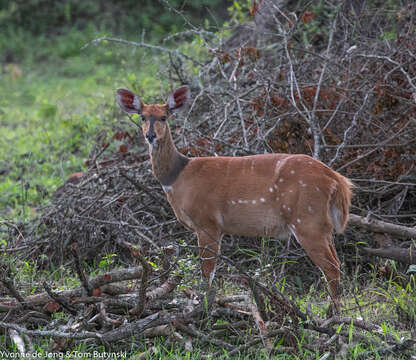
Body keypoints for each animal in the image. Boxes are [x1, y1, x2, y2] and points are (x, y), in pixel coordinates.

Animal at [115, 86, 352, 310]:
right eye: (142, 116)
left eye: (164, 116)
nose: (150, 135)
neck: (178, 176)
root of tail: (336, 180)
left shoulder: (207, 222)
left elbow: (207, 272)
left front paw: (204, 307)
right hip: (322, 225)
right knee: (337, 263)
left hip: (307, 220)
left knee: (331, 267)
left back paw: (333, 314)